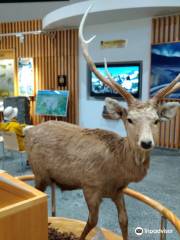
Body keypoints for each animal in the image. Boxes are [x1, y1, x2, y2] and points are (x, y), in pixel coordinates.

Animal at [25, 5, 180, 240]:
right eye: (129, 119)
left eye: (156, 120)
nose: (146, 143)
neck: (116, 169)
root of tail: (29, 131)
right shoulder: (90, 185)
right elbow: (92, 221)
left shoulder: (118, 191)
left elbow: (124, 221)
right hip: (39, 171)